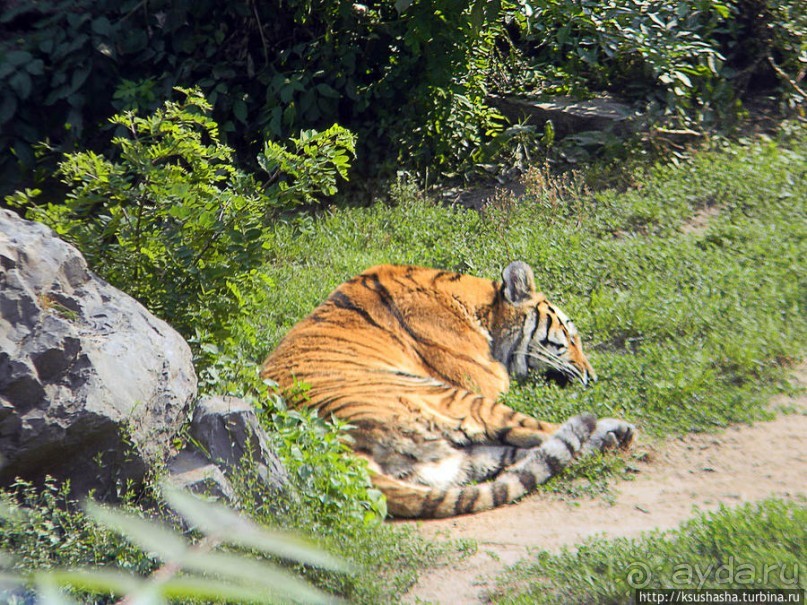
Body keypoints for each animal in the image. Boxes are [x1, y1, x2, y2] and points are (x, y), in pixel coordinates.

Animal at [262, 262, 636, 516]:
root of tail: (338, 447)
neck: (484, 312)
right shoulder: (487, 383)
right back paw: (615, 429)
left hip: (447, 462)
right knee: (541, 429)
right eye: (570, 337)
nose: (592, 377)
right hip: (458, 400)